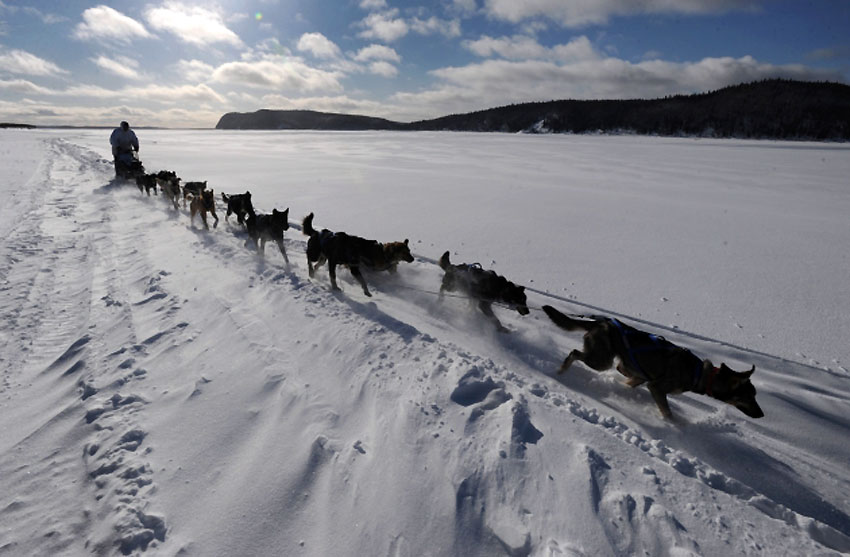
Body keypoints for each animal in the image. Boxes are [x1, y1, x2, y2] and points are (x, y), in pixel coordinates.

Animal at [540, 306, 764, 420]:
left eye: (755, 396)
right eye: (748, 397)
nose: (762, 415)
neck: (699, 373)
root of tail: (601, 322)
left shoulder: (639, 377)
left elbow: (628, 382)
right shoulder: (656, 387)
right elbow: (668, 413)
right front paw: (677, 428)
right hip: (601, 360)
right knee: (574, 353)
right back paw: (561, 370)